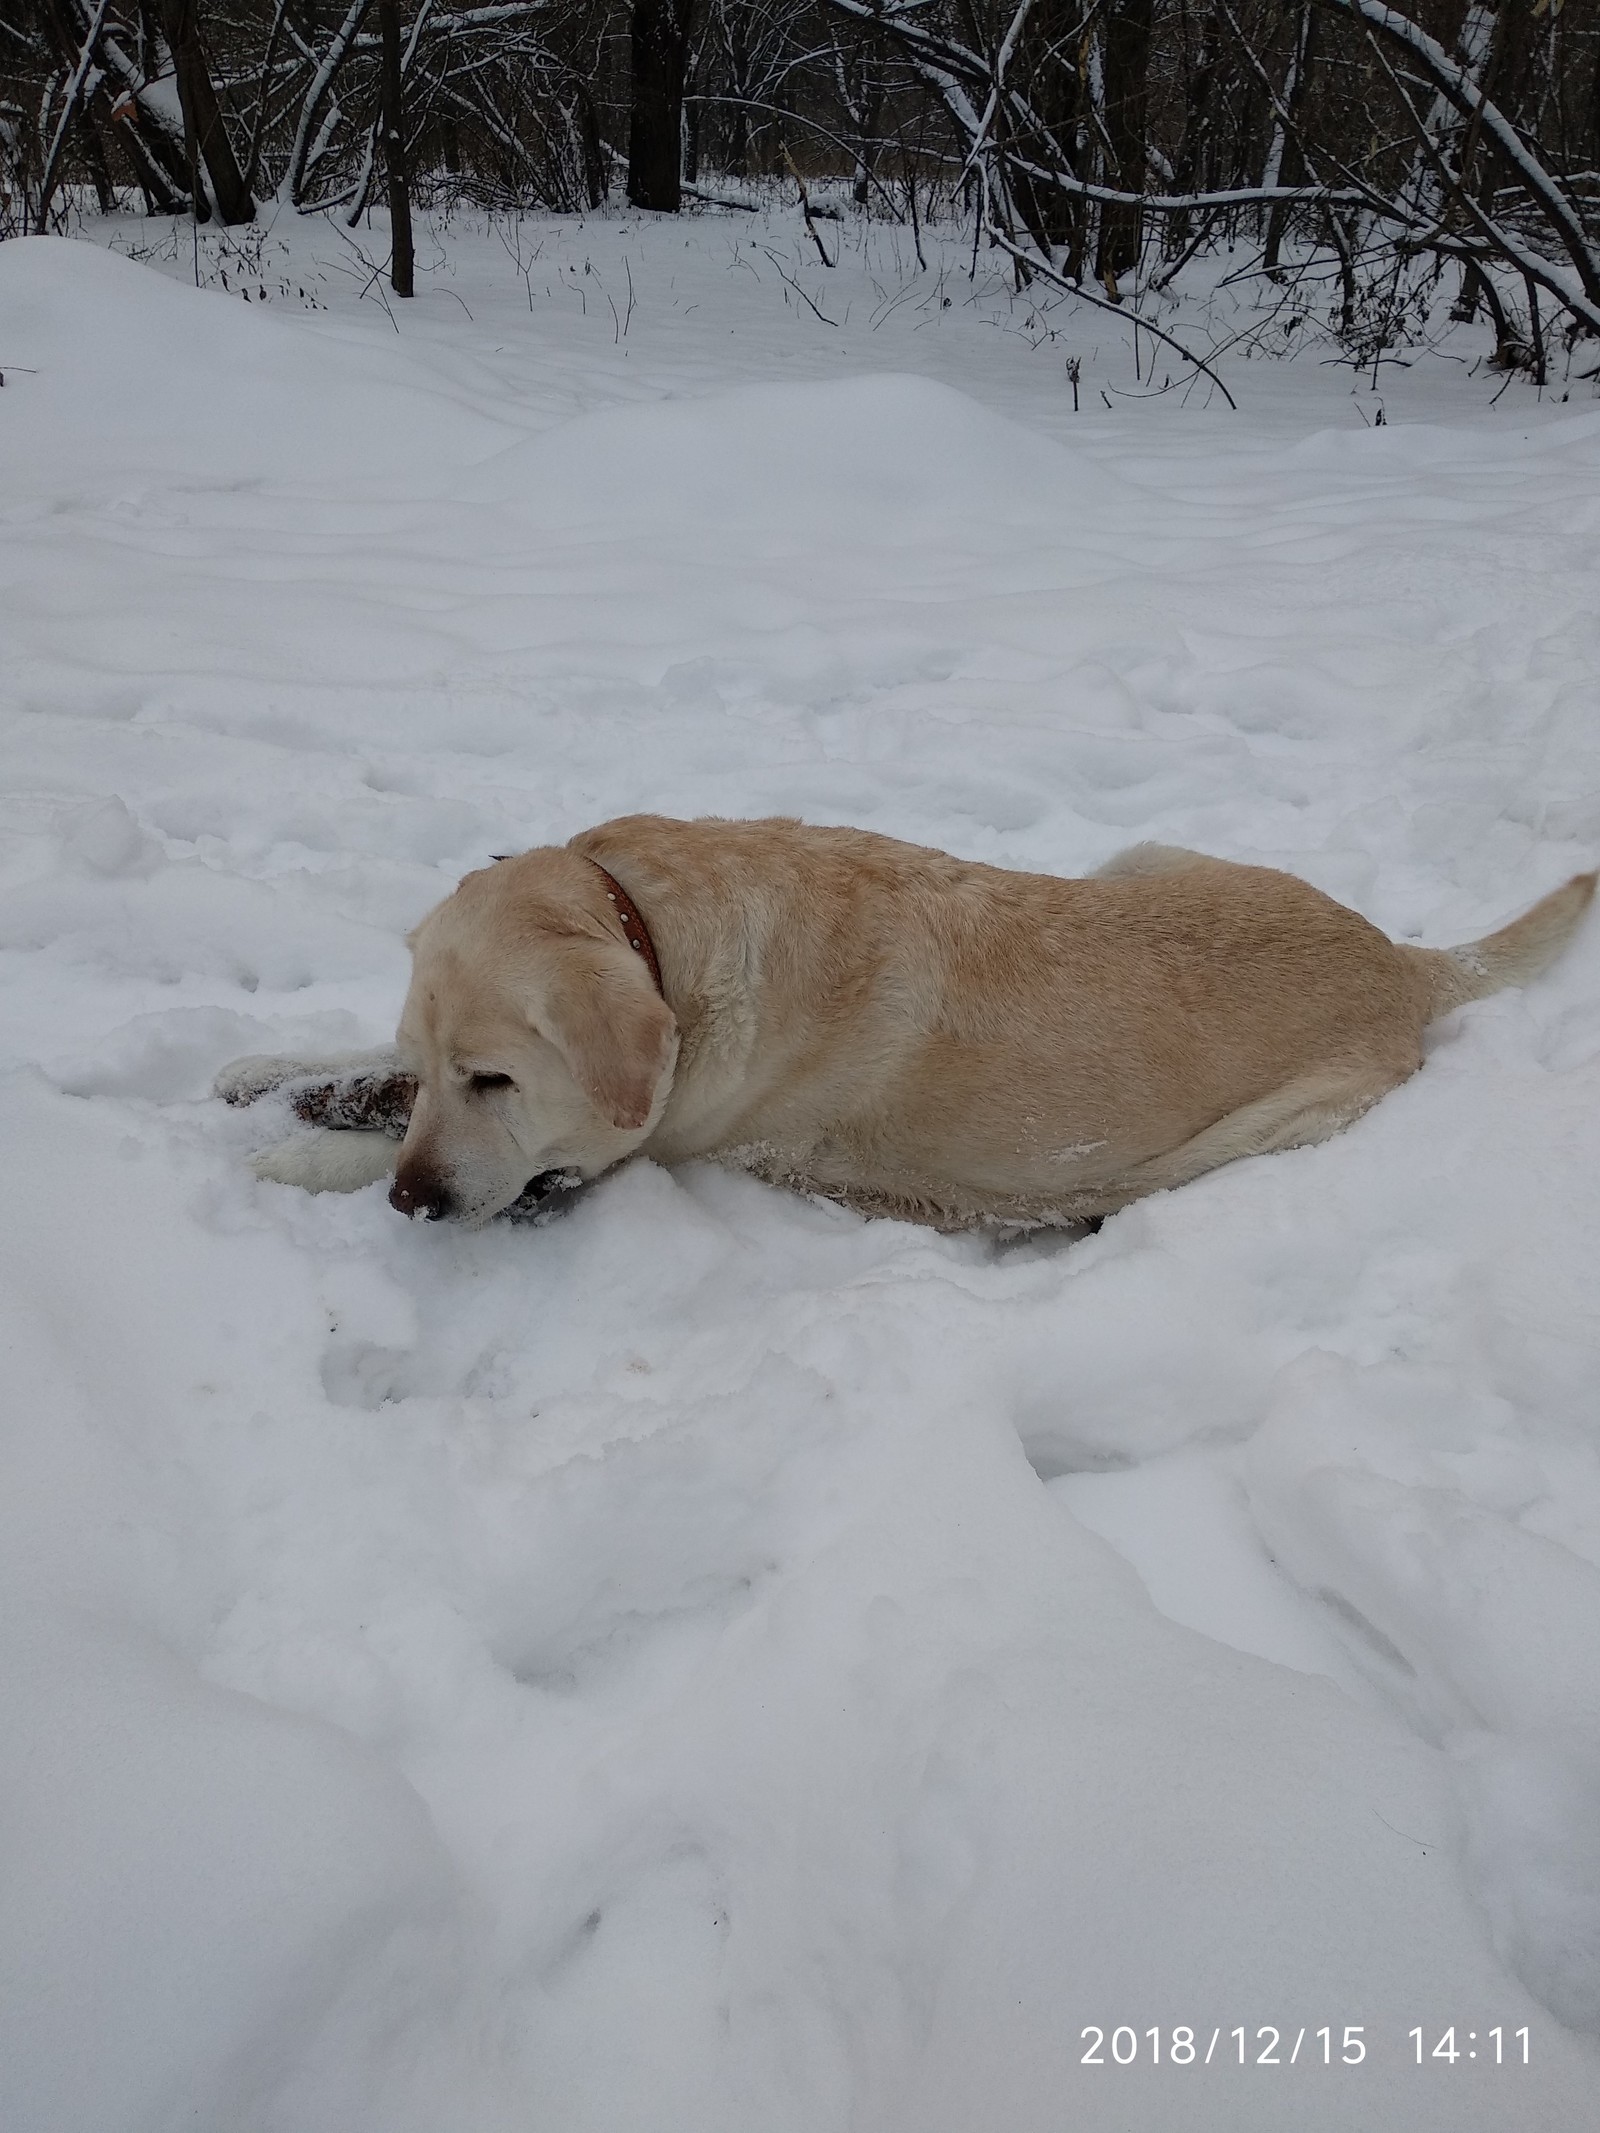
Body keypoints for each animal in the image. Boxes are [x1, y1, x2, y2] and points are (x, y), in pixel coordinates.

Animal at [219, 823, 1595, 1245]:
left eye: (497, 1079)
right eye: (444, 1066)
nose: (413, 1206)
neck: (656, 928)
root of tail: (1405, 961)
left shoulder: (625, 1154)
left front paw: (303, 1158)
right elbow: (351, 1061)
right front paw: (267, 1069)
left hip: (1241, 1142)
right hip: (1138, 855)